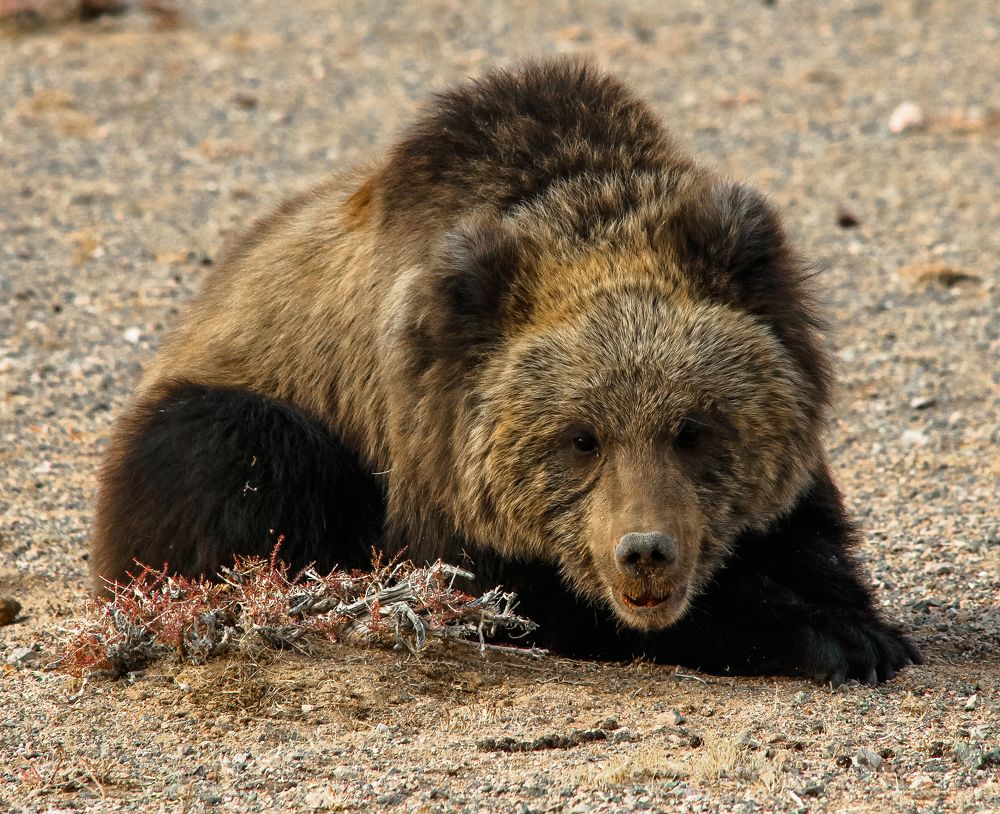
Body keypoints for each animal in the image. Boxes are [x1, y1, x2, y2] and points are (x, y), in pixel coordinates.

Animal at [92, 59, 920, 685]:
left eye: (692, 429)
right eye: (582, 438)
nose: (646, 552)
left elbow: (803, 536)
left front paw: (857, 625)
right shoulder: (430, 465)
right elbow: (531, 601)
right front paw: (822, 636)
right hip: (234, 400)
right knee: (230, 448)